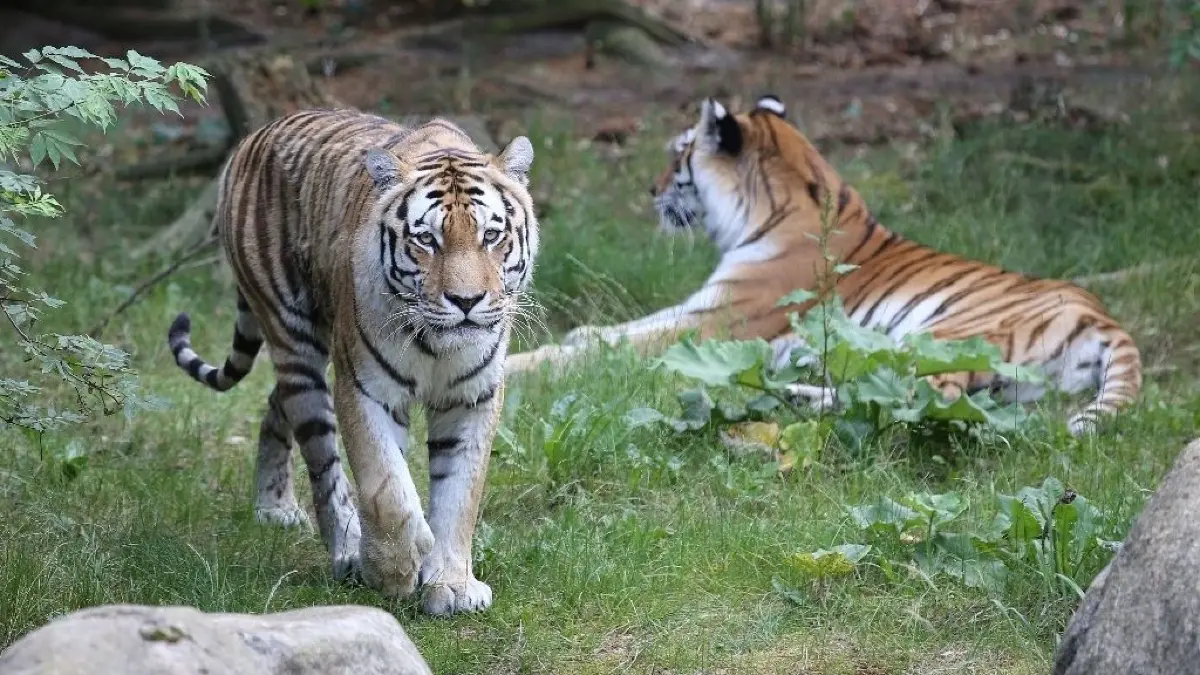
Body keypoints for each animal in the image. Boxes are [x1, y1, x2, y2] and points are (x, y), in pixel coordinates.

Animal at [166, 109, 539, 615]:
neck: (437, 345)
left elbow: (460, 493)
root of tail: (255, 135)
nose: (465, 301)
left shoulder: (472, 397)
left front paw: (453, 584)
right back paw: (345, 550)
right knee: (322, 462)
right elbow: (387, 488)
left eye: (491, 236)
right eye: (427, 240)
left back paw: (274, 506)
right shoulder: (364, 389)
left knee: (275, 404)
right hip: (295, 342)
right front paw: (395, 569)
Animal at [505, 95, 1141, 435]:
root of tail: (1107, 317)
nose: (650, 189)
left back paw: (796, 399)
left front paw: (528, 364)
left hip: (940, 337)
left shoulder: (717, 321)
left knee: (923, 399)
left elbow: (615, 346)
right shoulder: (700, 307)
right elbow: (616, 330)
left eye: (678, 154)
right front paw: (578, 336)